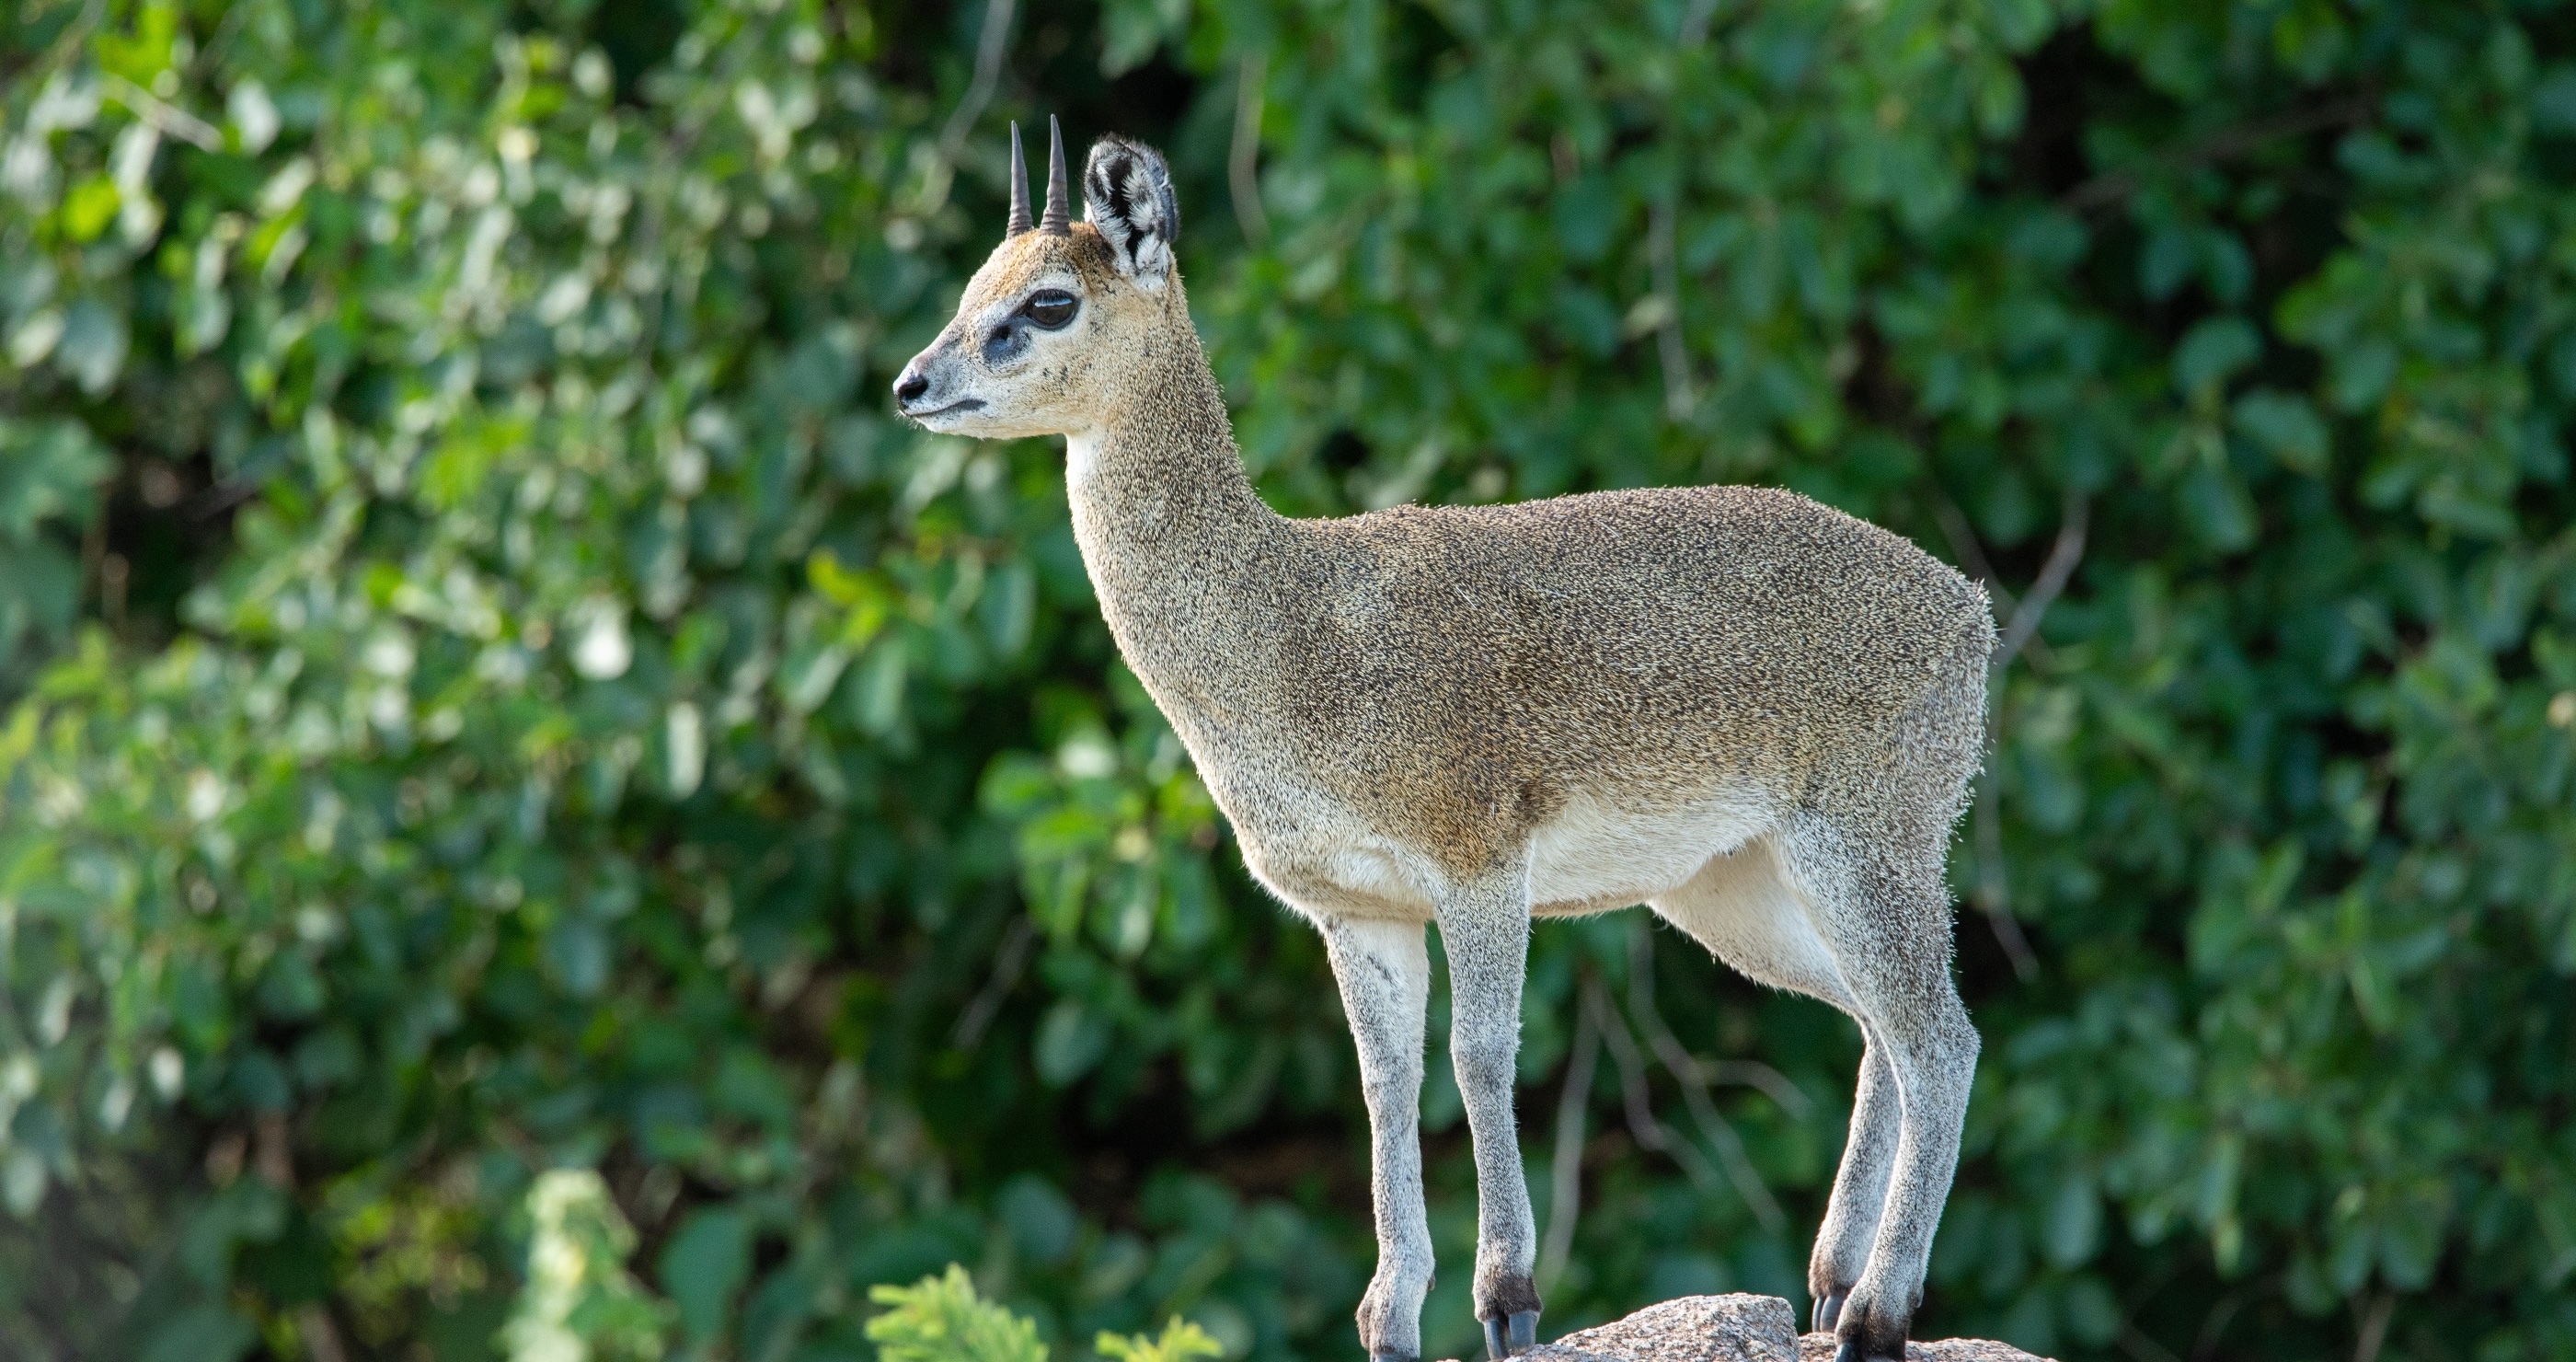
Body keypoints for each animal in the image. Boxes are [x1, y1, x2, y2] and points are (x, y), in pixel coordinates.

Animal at [893, 121, 1993, 1362]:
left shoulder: (1478, 861)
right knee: (1876, 1029)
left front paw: (1507, 1299)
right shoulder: (1354, 906)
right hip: (1727, 886)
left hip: (1869, 841)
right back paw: (1825, 1290)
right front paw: (1389, 1316)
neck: (1294, 633)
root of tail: (1970, 609)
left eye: (1047, 301)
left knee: (1941, 1038)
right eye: (970, 284)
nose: (911, 383)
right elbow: (1384, 1081)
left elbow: (1479, 1052)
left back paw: (1875, 1316)